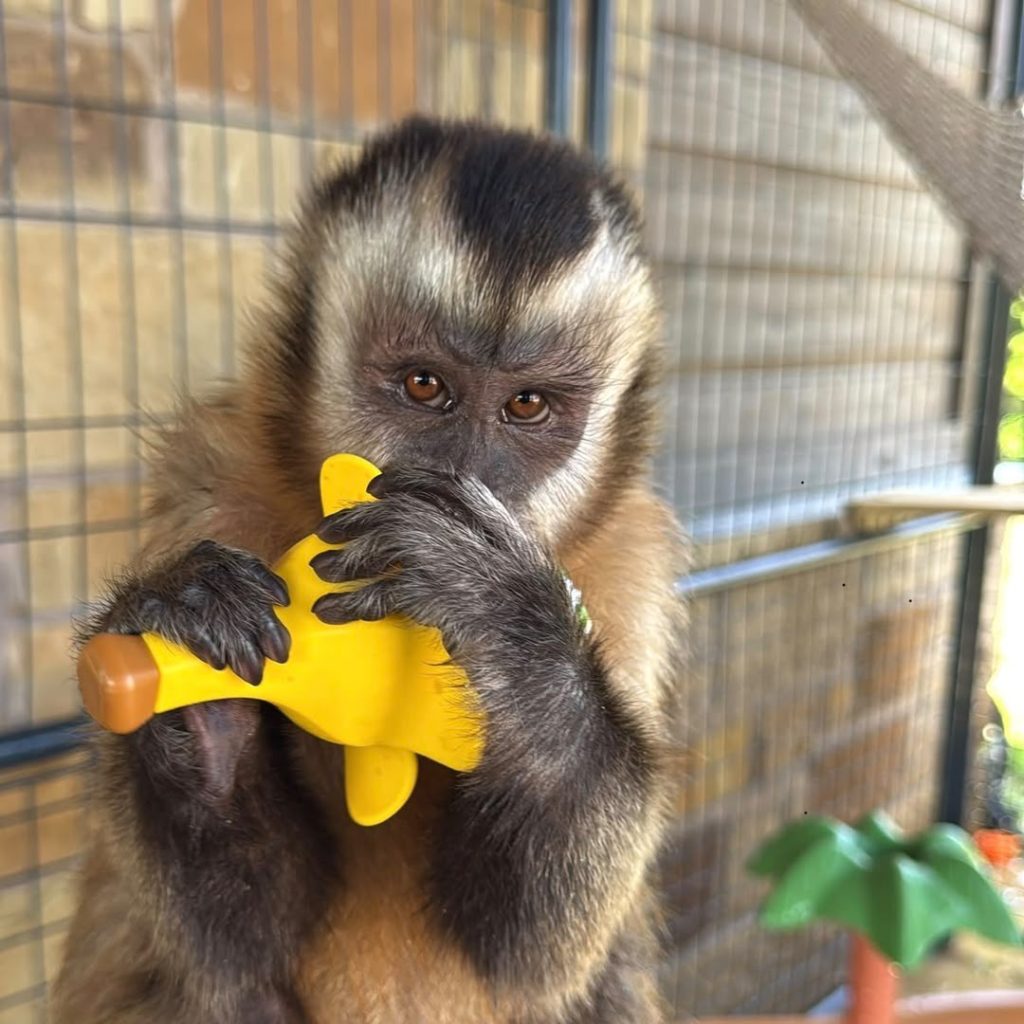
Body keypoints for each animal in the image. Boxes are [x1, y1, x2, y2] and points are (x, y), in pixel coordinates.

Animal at [51, 115, 688, 1024]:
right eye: (425, 386)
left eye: (527, 406)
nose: (466, 482)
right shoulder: (208, 478)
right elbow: (238, 943)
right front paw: (196, 676)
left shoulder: (632, 568)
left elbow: (534, 957)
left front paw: (508, 622)